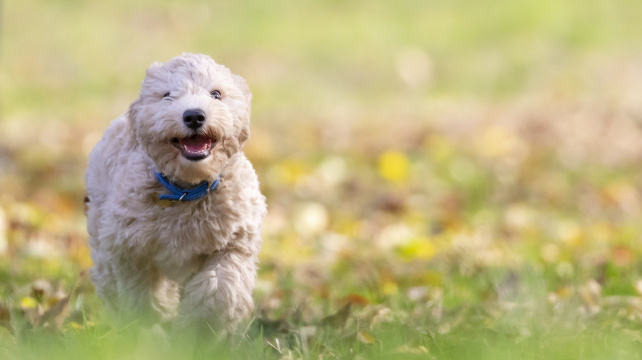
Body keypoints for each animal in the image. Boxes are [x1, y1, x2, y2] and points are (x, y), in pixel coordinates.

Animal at [85, 52, 264, 334]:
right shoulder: (129, 248)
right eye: (167, 95)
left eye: (216, 94)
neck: (187, 189)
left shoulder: (236, 242)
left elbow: (220, 287)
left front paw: (198, 330)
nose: (194, 116)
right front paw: (150, 327)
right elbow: (141, 293)